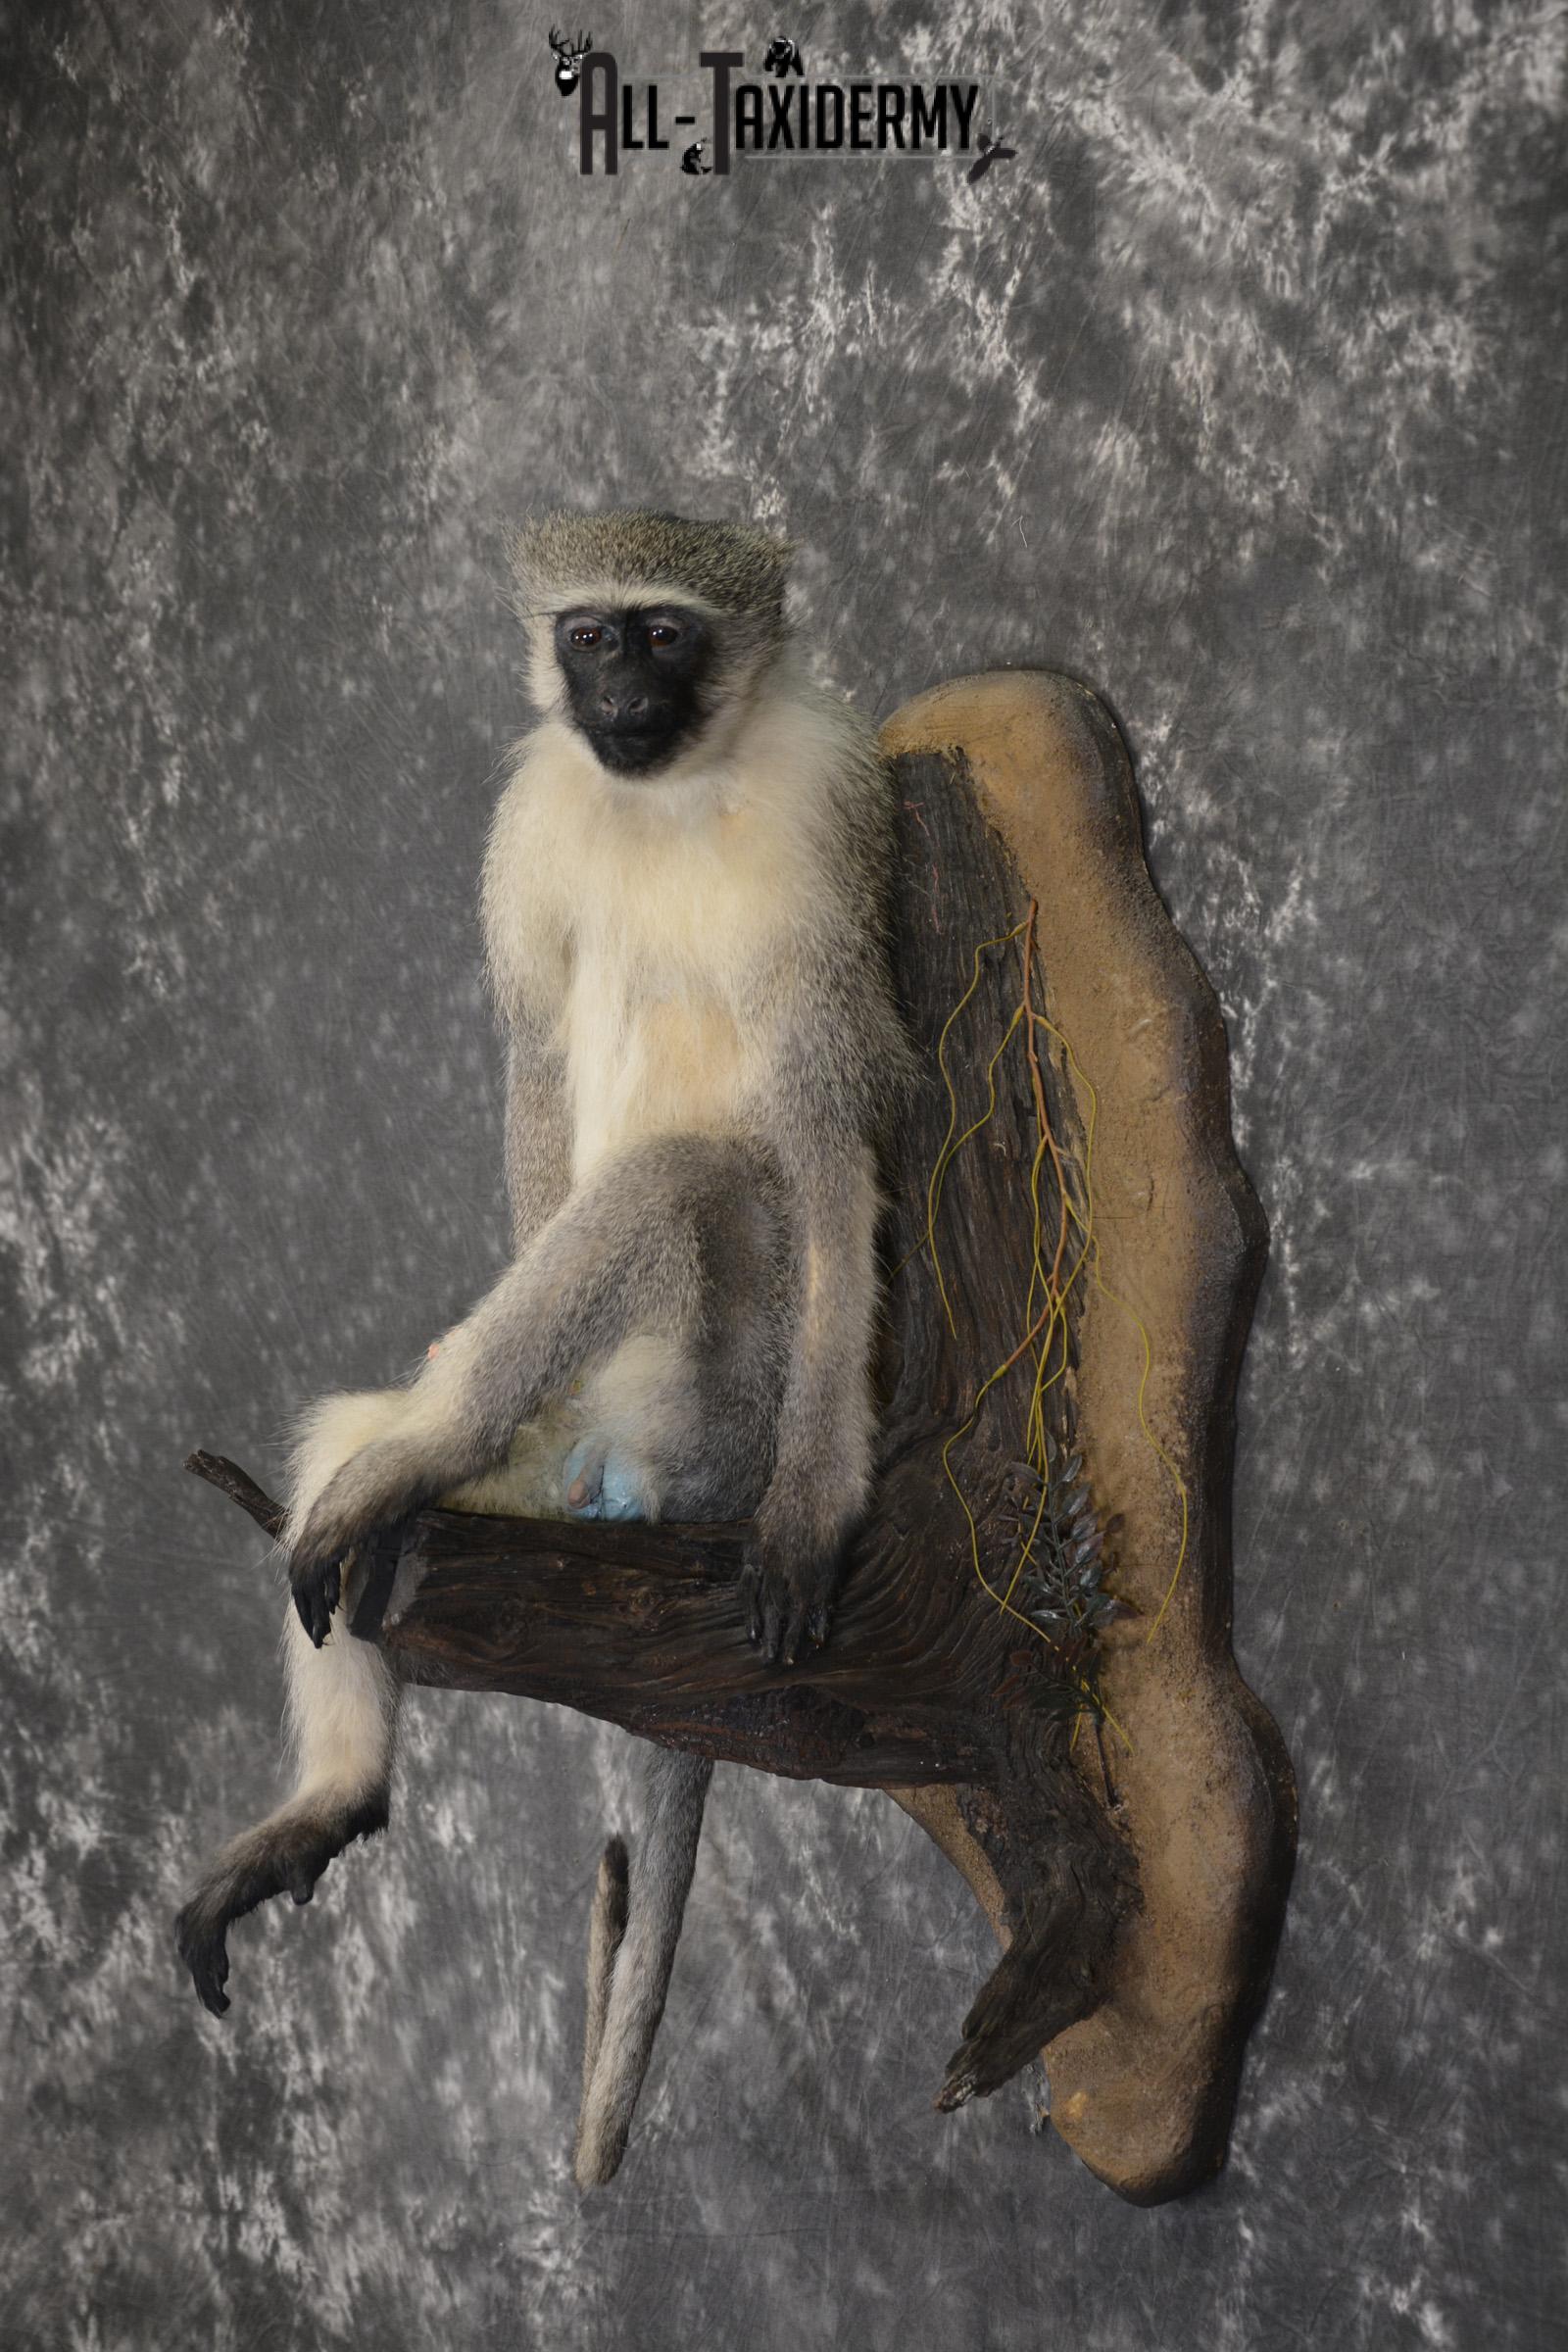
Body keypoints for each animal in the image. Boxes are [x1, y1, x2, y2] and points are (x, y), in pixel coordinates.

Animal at [175, 509, 911, 2187]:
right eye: (591, 635)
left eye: (667, 633)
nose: (620, 695)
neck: (676, 789)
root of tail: (630, 1480)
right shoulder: (535, 814)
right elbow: (532, 1051)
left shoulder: (826, 820)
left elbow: (829, 1126)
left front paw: (819, 1508)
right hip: (582, 1433)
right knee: (358, 1456)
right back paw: (345, 1754)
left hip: (721, 1394)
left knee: (687, 1184)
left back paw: (436, 1453)